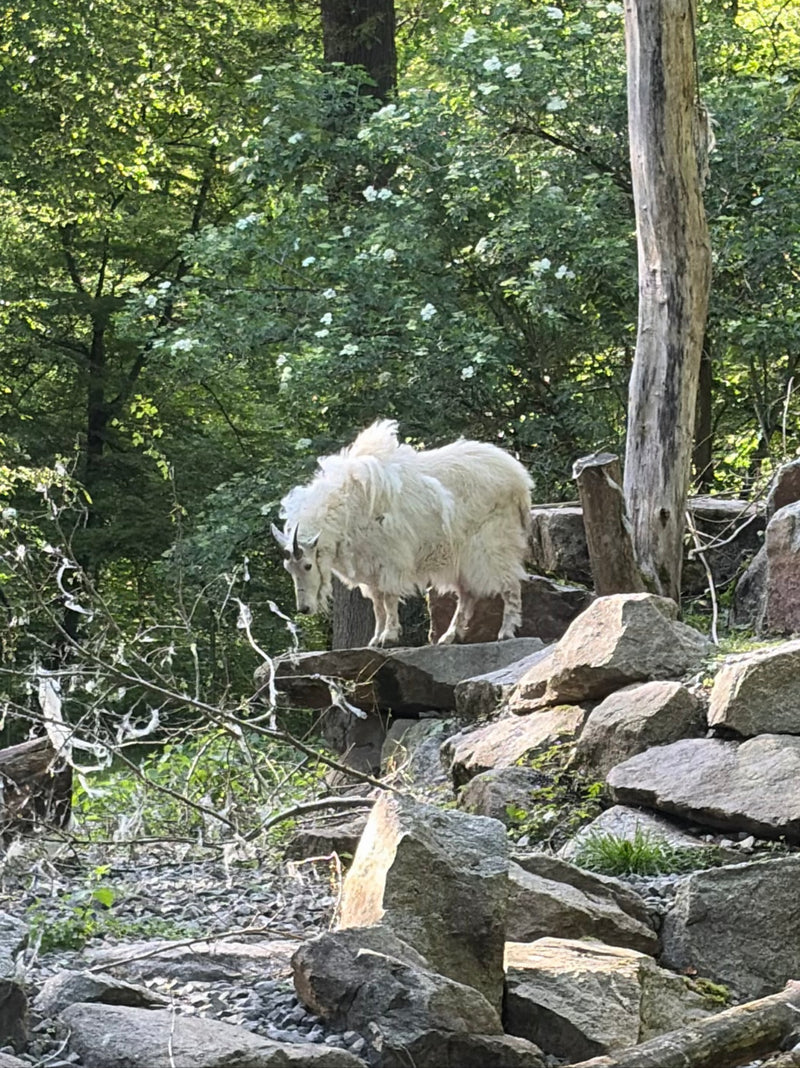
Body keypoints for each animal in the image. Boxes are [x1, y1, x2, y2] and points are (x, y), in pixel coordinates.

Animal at [271, 420, 533, 646]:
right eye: (288, 568)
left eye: (307, 565)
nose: (304, 609)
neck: (346, 508)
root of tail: (520, 479)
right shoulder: (370, 566)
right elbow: (377, 604)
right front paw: (375, 638)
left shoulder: (390, 560)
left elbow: (388, 598)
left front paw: (389, 636)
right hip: (462, 556)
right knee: (467, 594)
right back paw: (449, 636)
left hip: (493, 543)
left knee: (510, 583)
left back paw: (506, 631)